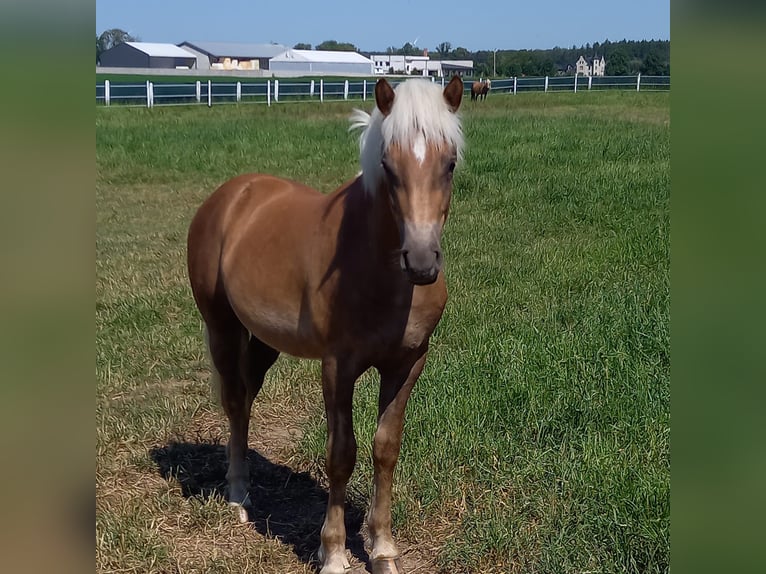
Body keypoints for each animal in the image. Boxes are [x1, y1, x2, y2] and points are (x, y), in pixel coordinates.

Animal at [187, 75, 464, 574]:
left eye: (449, 164)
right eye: (387, 165)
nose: (420, 261)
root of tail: (231, 194)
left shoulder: (407, 365)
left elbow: (385, 449)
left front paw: (382, 549)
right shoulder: (337, 367)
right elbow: (341, 454)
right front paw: (333, 552)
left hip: (264, 341)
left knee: (246, 399)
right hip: (222, 327)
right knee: (235, 402)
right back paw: (238, 495)